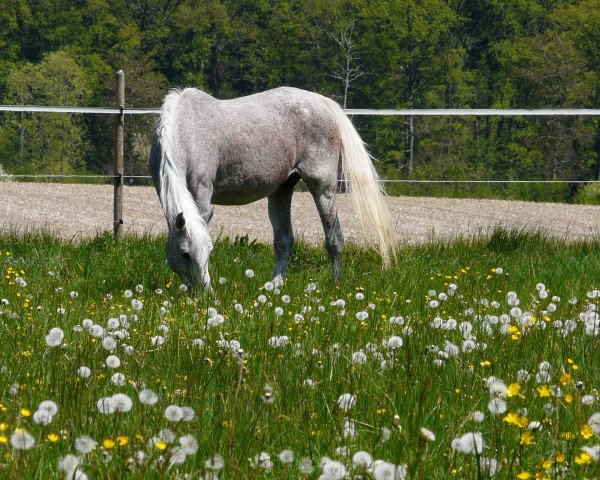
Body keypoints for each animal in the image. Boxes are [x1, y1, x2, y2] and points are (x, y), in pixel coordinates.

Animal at [149, 86, 394, 288]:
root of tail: (325, 104)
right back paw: (275, 286)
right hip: (282, 189)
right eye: (184, 254)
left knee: (334, 239)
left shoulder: (201, 193)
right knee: (284, 241)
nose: (204, 294)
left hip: (323, 186)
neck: (187, 130)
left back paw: (335, 284)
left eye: (209, 251)